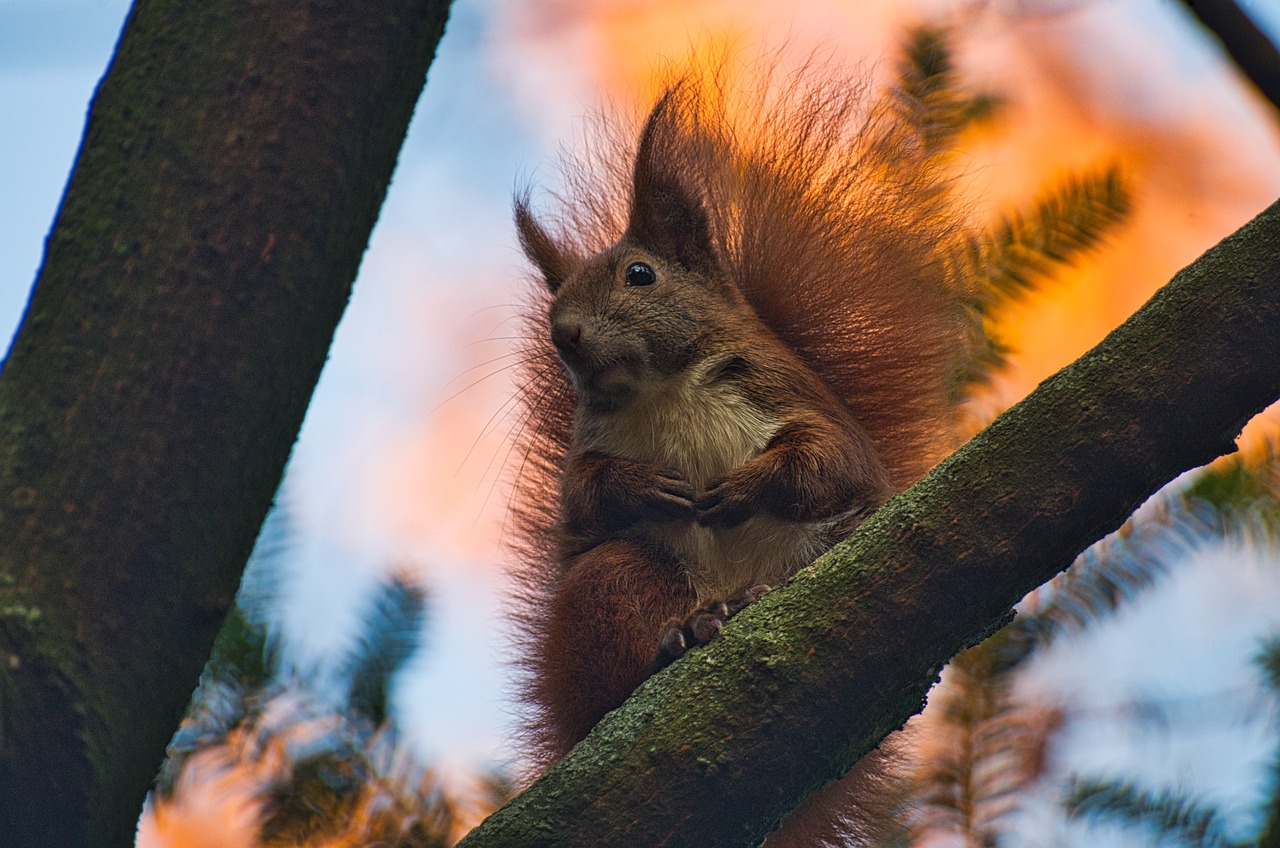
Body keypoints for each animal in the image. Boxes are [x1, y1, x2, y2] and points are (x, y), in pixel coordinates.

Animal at [506, 51, 967, 845]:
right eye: (553, 303)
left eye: (640, 274)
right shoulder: (586, 450)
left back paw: (748, 603)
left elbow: (830, 462)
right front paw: (640, 486)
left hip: (833, 550)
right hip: (614, 583)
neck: (661, 387)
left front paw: (749, 486)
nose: (564, 335)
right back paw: (682, 638)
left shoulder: (792, 397)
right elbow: (586, 496)